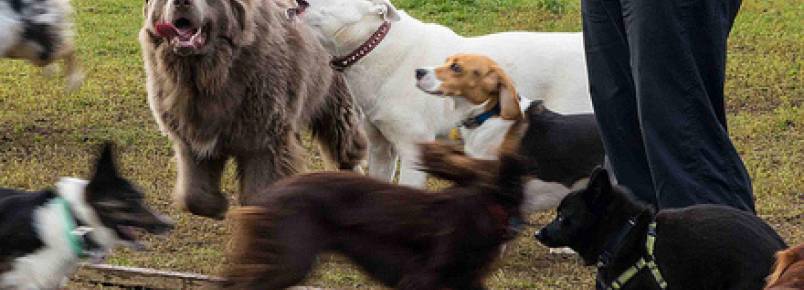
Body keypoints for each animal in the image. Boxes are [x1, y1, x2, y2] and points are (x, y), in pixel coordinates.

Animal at [138, 0, 364, 219]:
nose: (181, 2)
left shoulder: (264, 139)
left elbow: (261, 187)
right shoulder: (192, 134)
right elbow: (193, 193)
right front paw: (215, 207)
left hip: (336, 98)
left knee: (344, 140)